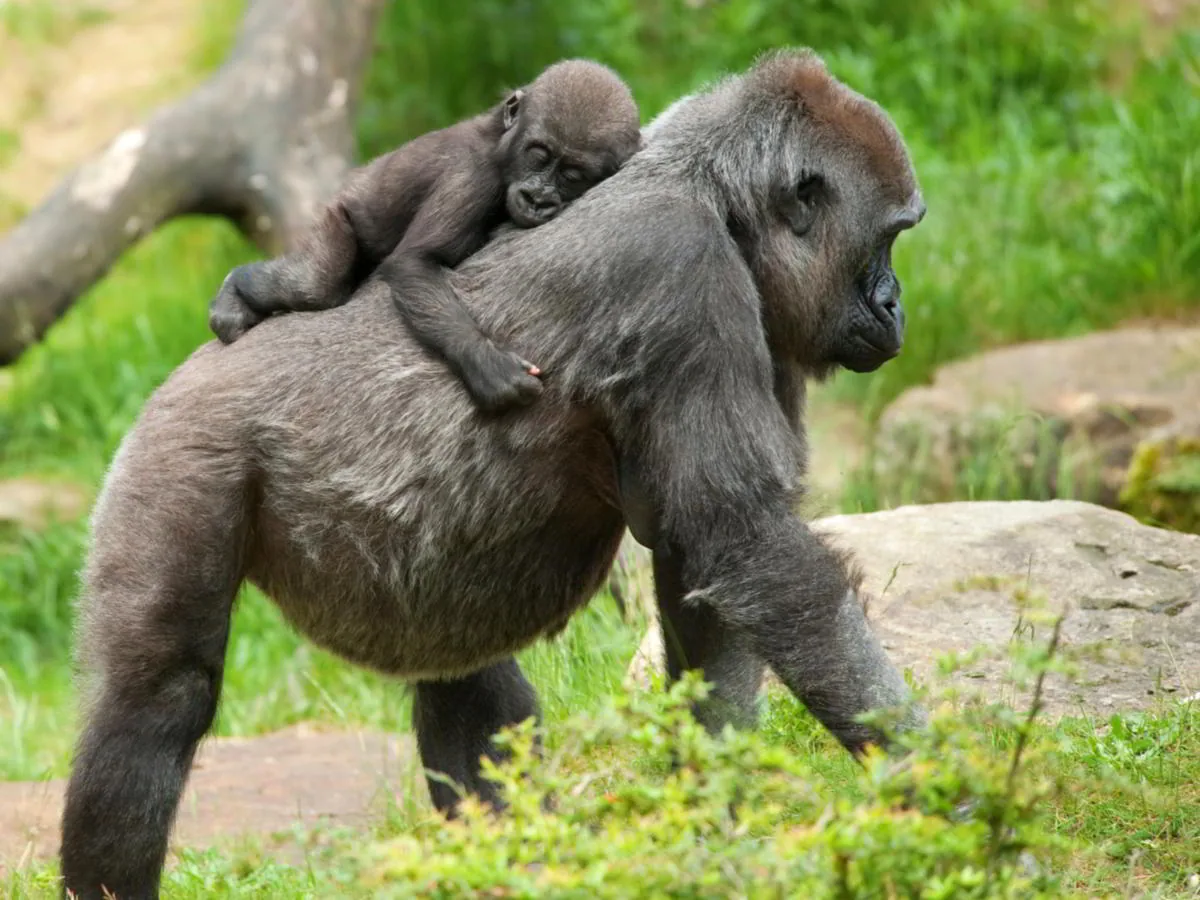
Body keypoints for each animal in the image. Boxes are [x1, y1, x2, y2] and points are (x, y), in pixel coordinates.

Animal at [207, 59, 641, 415]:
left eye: (572, 175)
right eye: (538, 154)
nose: (537, 198)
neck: (501, 143)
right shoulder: (472, 175)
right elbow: (414, 262)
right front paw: (484, 361)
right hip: (338, 213)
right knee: (313, 285)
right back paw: (236, 290)